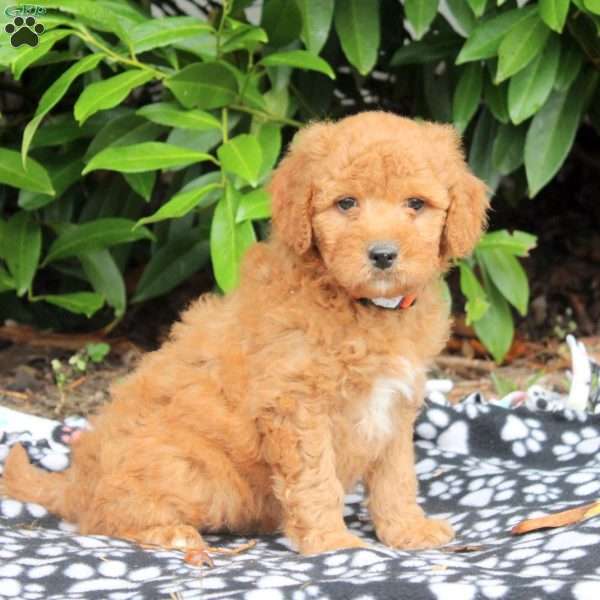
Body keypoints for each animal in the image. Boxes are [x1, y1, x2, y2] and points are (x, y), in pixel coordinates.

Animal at [2, 111, 488, 556]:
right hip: (193, 473)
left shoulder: (395, 406)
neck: (364, 309)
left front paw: (408, 531)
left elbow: (396, 477)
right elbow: (316, 480)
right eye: (347, 204)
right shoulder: (296, 406)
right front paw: (333, 544)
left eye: (416, 204)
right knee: (101, 519)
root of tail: (75, 483)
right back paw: (171, 534)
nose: (383, 254)